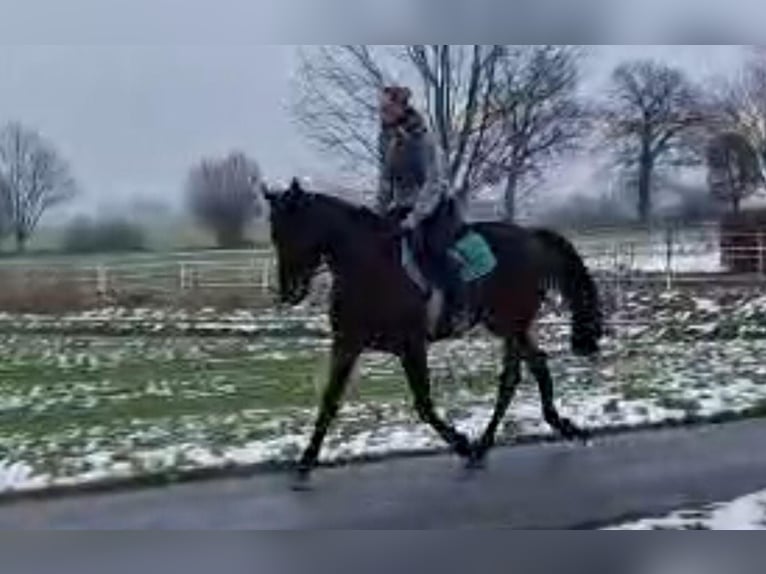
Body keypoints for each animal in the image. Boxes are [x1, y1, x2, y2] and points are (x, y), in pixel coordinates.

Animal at [266, 180, 608, 490]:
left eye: (296, 231)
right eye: (275, 235)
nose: (289, 292)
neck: (370, 266)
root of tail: (531, 236)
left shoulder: (412, 345)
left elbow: (424, 405)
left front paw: (461, 444)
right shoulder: (347, 343)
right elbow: (330, 400)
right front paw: (306, 461)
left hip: (512, 323)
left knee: (520, 374)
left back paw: (504, 439)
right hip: (510, 327)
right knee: (526, 371)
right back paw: (530, 433)